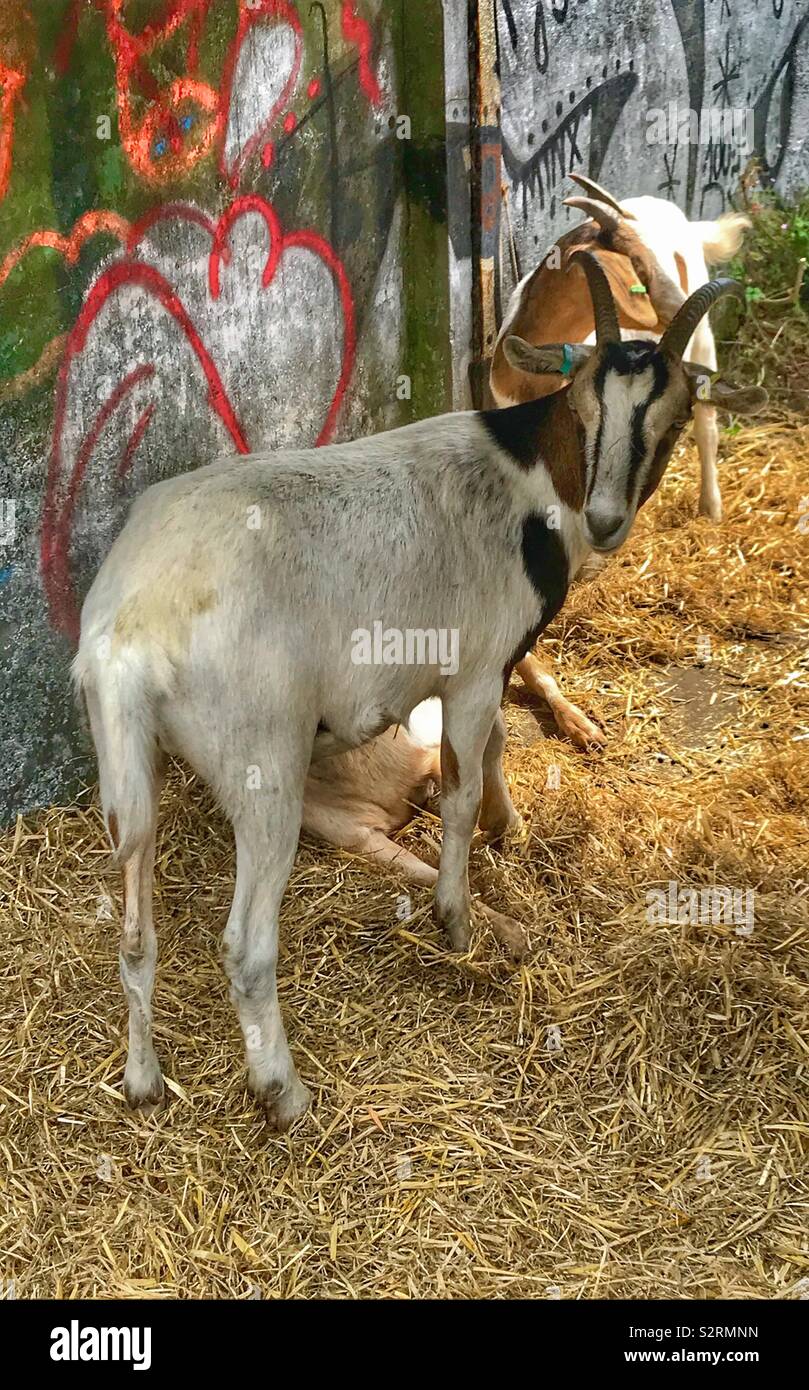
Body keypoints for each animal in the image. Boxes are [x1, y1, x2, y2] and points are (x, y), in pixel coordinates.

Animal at [73, 252, 765, 1130]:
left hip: (126, 762)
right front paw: (458, 917)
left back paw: (142, 1079)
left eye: (671, 416)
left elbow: (497, 744)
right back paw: (284, 1094)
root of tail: (129, 631)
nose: (607, 519)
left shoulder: (492, 664)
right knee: (245, 942)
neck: (527, 470)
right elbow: (463, 786)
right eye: (582, 402)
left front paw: (511, 829)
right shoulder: (472, 665)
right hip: (262, 759)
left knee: (133, 924)